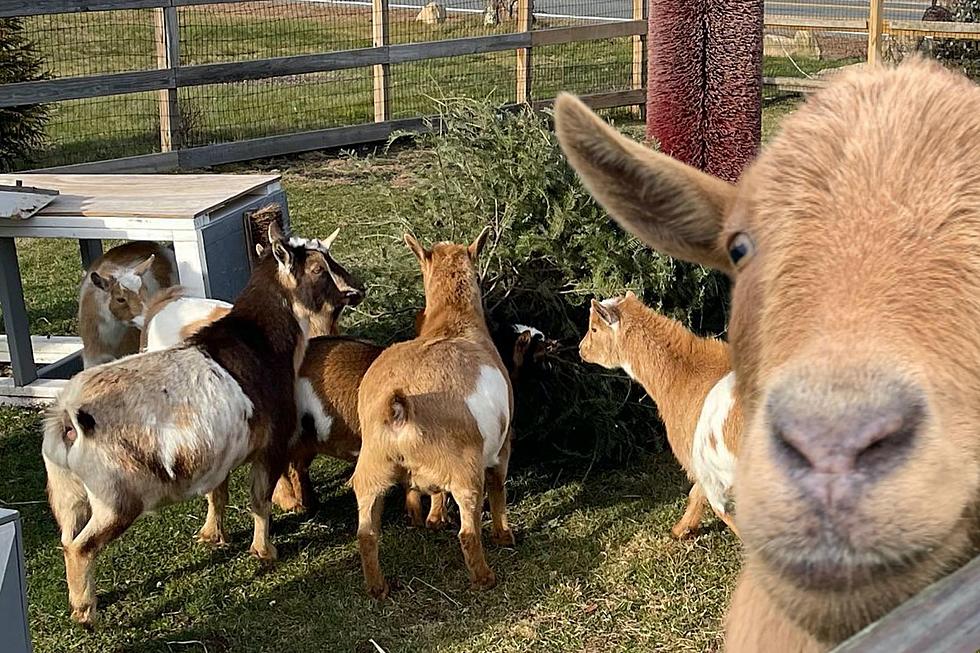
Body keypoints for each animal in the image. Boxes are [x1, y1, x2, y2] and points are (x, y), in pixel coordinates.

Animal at [350, 229, 512, 596]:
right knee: (468, 532)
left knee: (366, 534)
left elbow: (437, 492)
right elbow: (498, 487)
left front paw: (435, 518)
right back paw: (485, 577)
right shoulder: (503, 446)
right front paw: (504, 535)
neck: (453, 320)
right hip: (466, 471)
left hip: (371, 470)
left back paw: (378, 587)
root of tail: (398, 407)